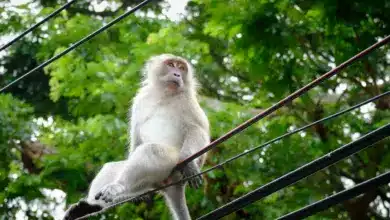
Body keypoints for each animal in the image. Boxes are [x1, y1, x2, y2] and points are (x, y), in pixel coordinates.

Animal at [63, 53, 210, 220]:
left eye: (181, 68)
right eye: (171, 64)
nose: (177, 74)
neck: (164, 94)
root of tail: (175, 185)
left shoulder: (187, 101)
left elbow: (197, 130)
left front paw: (190, 164)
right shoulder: (140, 99)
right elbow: (137, 139)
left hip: (172, 167)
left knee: (152, 151)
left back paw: (118, 186)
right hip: (151, 182)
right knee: (113, 167)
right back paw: (90, 206)